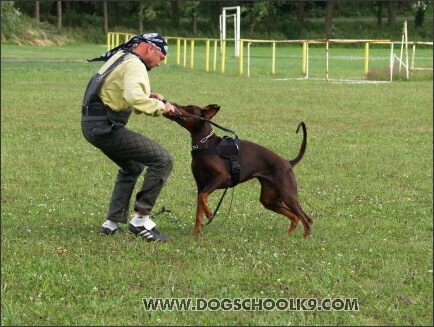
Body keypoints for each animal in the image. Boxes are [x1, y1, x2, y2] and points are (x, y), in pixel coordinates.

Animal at [164, 104, 312, 240]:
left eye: (189, 107)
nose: (172, 103)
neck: (204, 144)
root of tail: (288, 162)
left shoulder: (222, 176)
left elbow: (203, 197)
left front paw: (210, 212)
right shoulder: (201, 185)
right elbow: (199, 211)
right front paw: (194, 234)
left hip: (288, 194)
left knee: (306, 219)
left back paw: (304, 239)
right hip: (269, 199)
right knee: (295, 216)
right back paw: (289, 235)